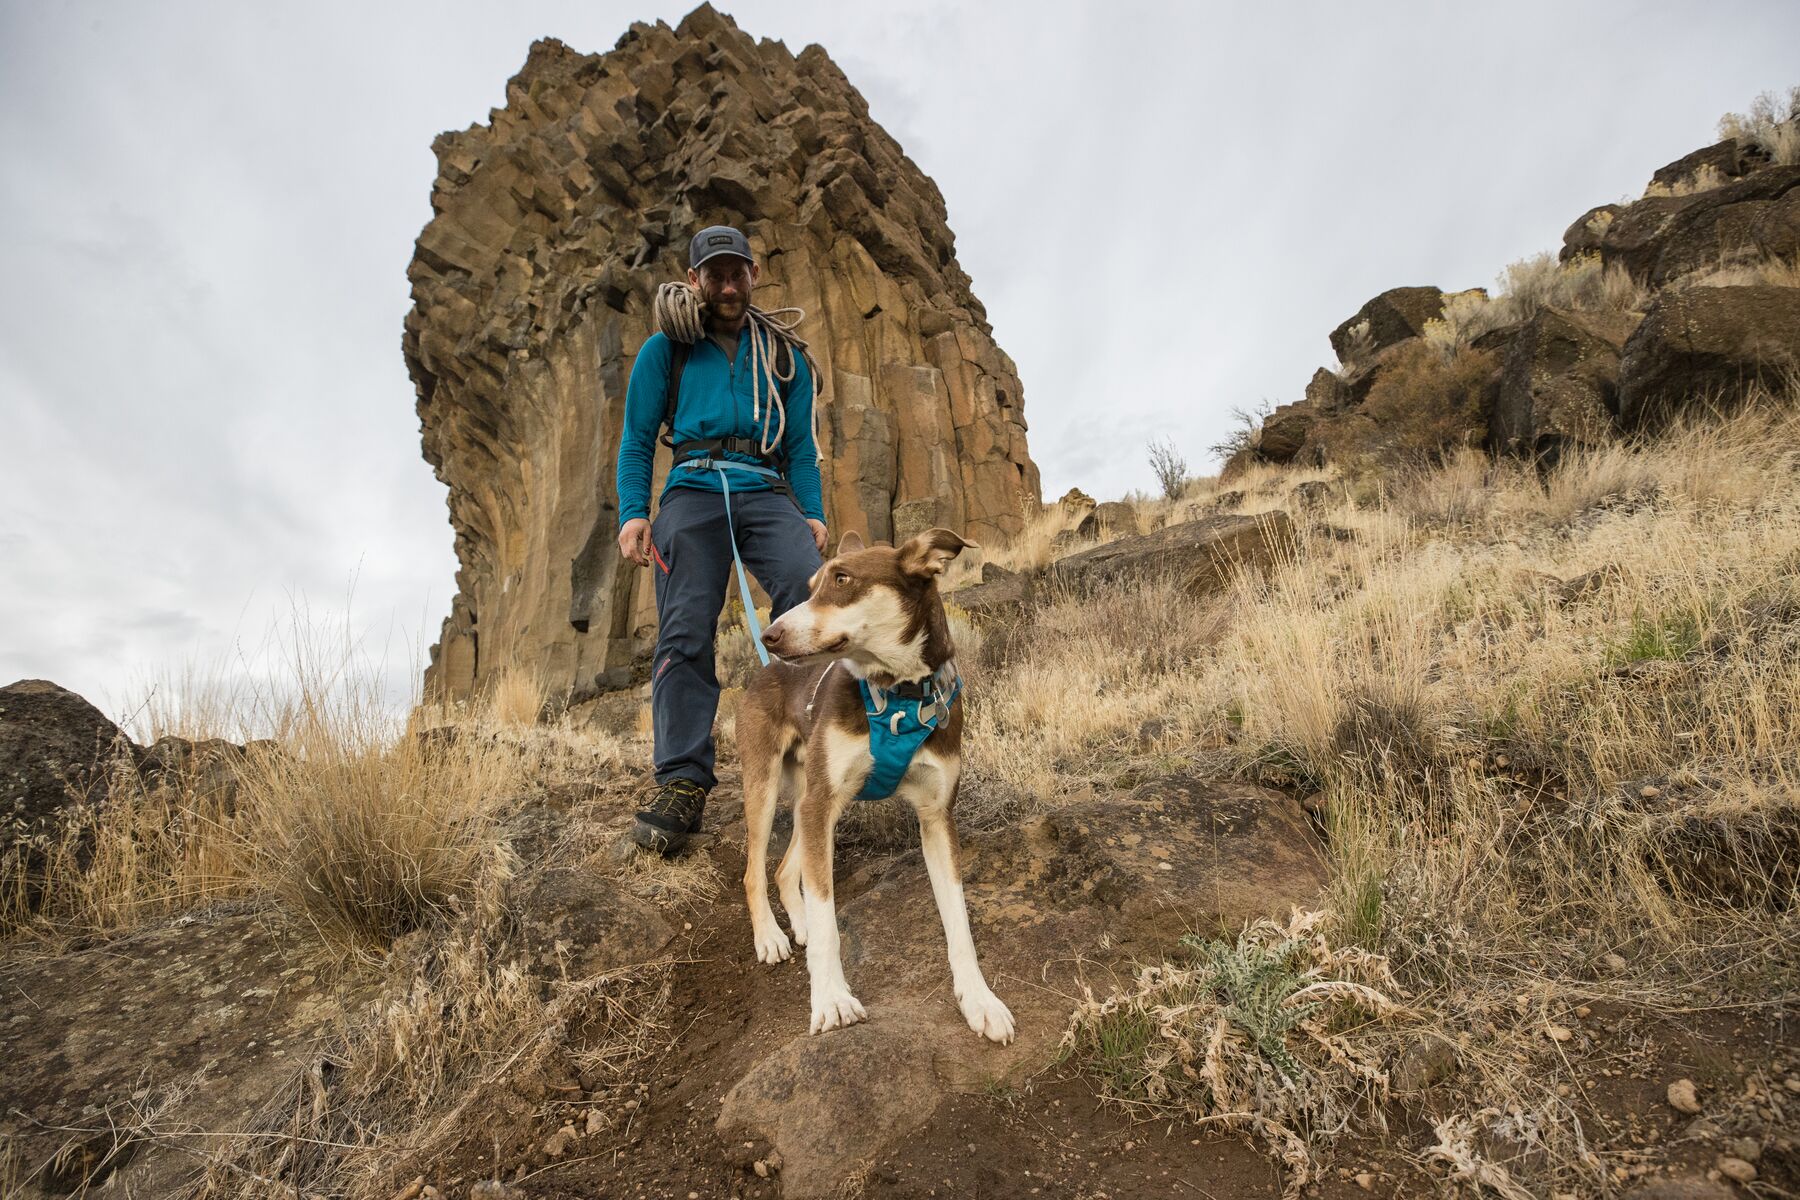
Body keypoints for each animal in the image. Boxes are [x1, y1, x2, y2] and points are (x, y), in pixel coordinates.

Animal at [730, 525, 1015, 1043]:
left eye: (842, 578)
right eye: (810, 587)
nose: (770, 634)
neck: (898, 692)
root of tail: (765, 668)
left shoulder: (936, 817)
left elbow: (959, 921)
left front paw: (979, 1000)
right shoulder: (823, 804)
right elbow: (828, 920)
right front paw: (830, 1000)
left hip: (806, 797)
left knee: (784, 869)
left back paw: (796, 925)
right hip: (766, 785)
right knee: (754, 872)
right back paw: (771, 937)